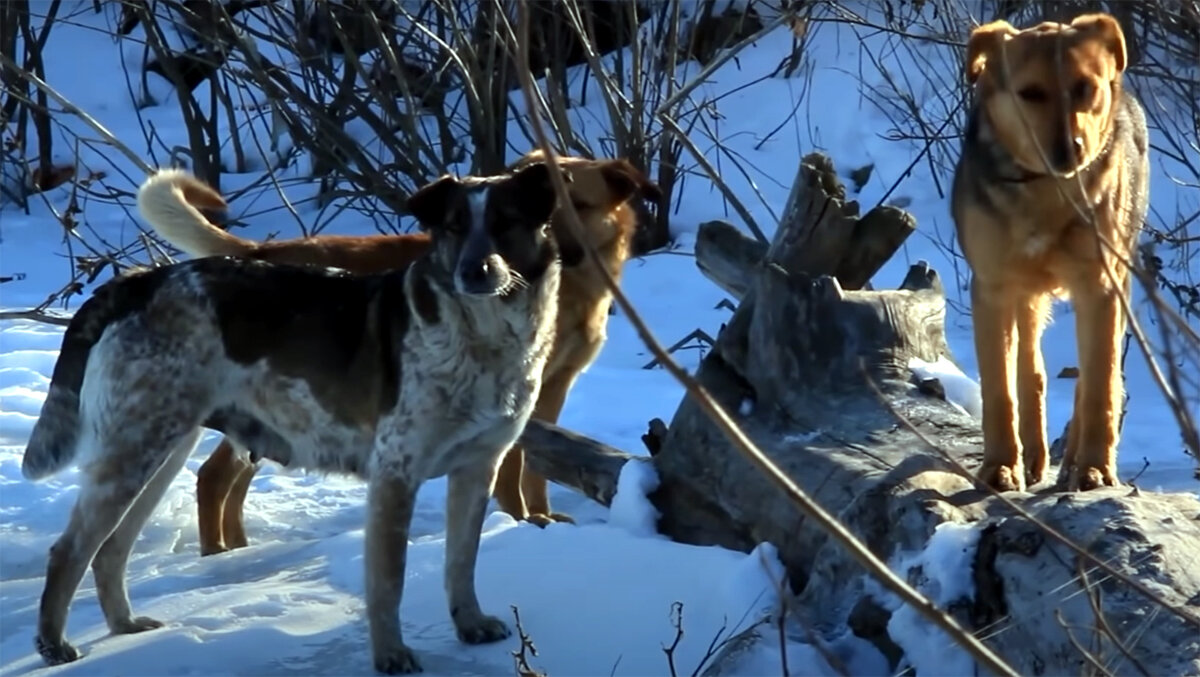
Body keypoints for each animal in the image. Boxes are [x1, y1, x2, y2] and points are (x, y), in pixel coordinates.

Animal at [19, 160, 580, 672]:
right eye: (454, 226)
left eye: (506, 222)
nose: (474, 271)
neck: (483, 339)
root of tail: (135, 281)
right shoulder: (395, 475)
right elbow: (389, 581)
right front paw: (391, 655)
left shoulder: (477, 468)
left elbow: (461, 561)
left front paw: (470, 624)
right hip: (135, 450)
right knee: (68, 551)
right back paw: (53, 646)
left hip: (159, 449)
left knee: (110, 549)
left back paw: (125, 626)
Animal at [138, 149, 667, 554]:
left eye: (576, 203)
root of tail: (256, 252)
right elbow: (512, 468)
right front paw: (520, 521)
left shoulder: (552, 387)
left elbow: (535, 468)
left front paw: (540, 517)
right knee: (212, 478)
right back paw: (217, 557)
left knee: (229, 481)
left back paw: (238, 550)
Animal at [950, 11, 1147, 492]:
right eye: (1031, 93)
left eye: (1085, 87)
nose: (1071, 149)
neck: (1046, 193)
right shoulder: (993, 287)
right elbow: (999, 387)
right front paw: (1000, 467)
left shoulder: (1100, 285)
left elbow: (1099, 385)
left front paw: (1094, 468)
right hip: (1024, 292)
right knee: (1029, 368)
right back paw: (1035, 455)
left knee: (1091, 376)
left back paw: (1072, 460)